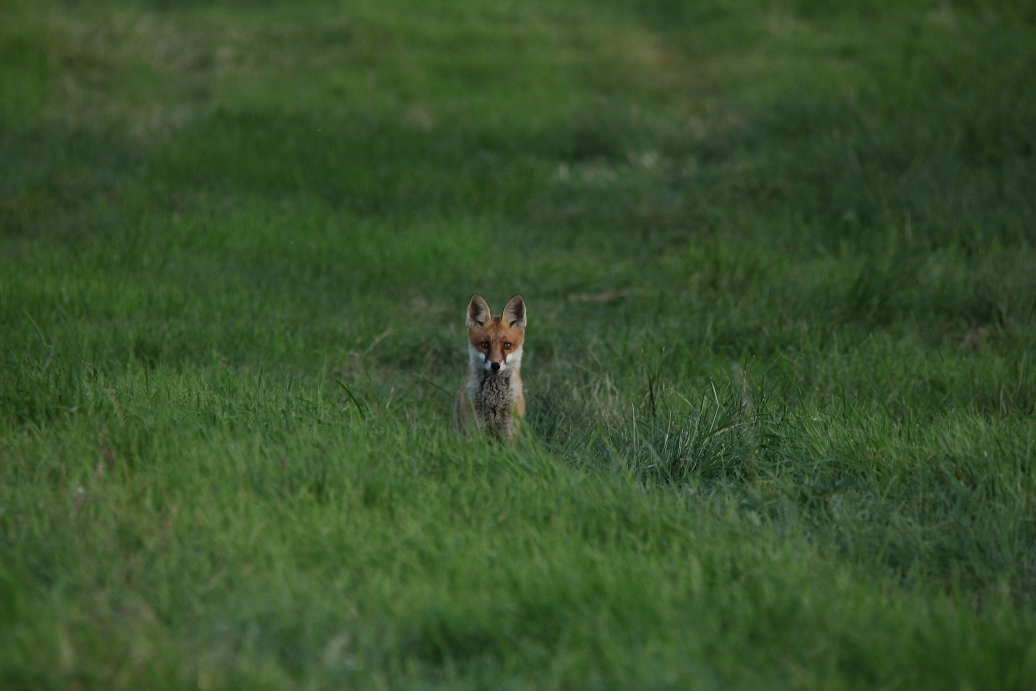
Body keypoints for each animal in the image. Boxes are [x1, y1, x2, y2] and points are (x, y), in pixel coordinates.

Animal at [455, 294, 526, 443]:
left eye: (507, 345)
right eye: (485, 344)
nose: (495, 365)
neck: (494, 401)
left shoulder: (509, 433)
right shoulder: (475, 430)